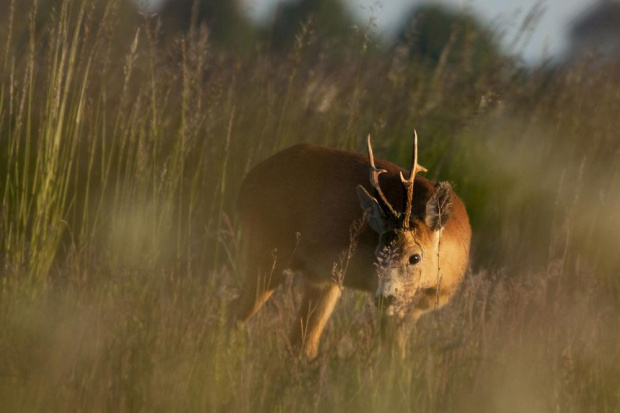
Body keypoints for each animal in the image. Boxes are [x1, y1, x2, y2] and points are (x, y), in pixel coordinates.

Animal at [235, 133, 472, 358]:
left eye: (415, 257)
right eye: (378, 254)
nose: (384, 298)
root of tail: (247, 181)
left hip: (321, 280)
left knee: (302, 343)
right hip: (266, 251)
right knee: (236, 313)